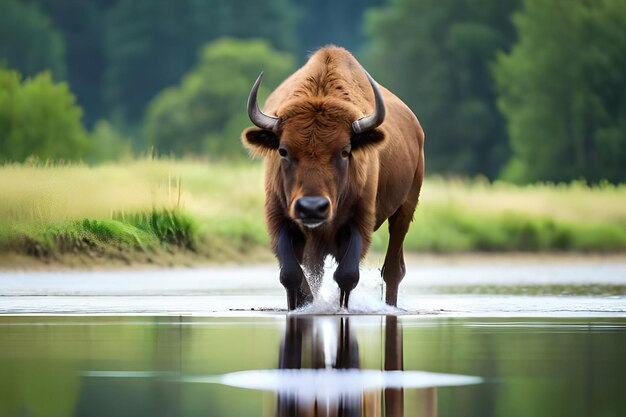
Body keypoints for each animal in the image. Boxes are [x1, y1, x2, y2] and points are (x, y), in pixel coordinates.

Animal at [241, 47, 422, 310]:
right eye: (283, 151)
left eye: (345, 151)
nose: (312, 207)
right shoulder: (279, 218)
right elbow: (291, 274)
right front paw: (303, 304)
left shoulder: (359, 221)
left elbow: (347, 275)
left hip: (405, 208)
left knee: (392, 270)